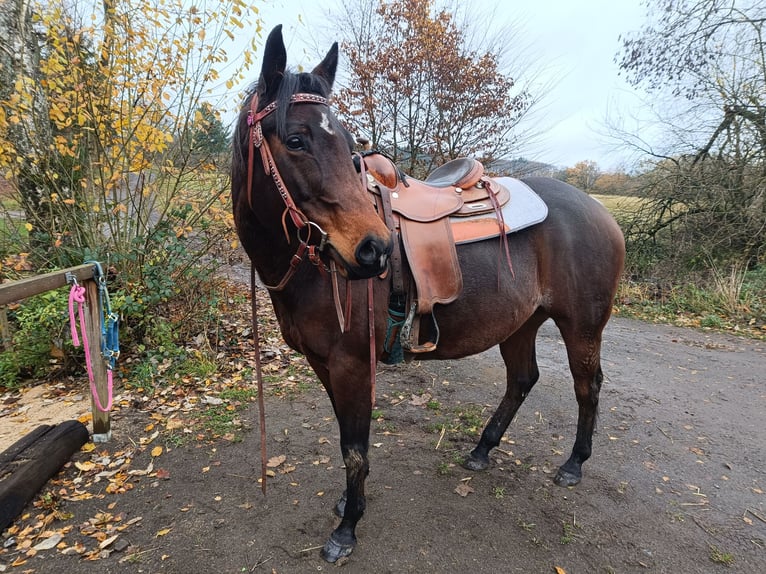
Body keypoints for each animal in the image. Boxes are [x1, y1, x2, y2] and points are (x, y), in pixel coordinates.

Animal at [234, 25, 632, 564]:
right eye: (295, 140)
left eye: (351, 149)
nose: (375, 249)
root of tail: (601, 212)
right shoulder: (324, 363)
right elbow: (346, 436)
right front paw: (346, 505)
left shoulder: (352, 364)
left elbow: (354, 449)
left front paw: (347, 528)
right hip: (521, 322)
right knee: (522, 379)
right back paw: (483, 449)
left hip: (582, 326)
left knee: (587, 386)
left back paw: (573, 464)